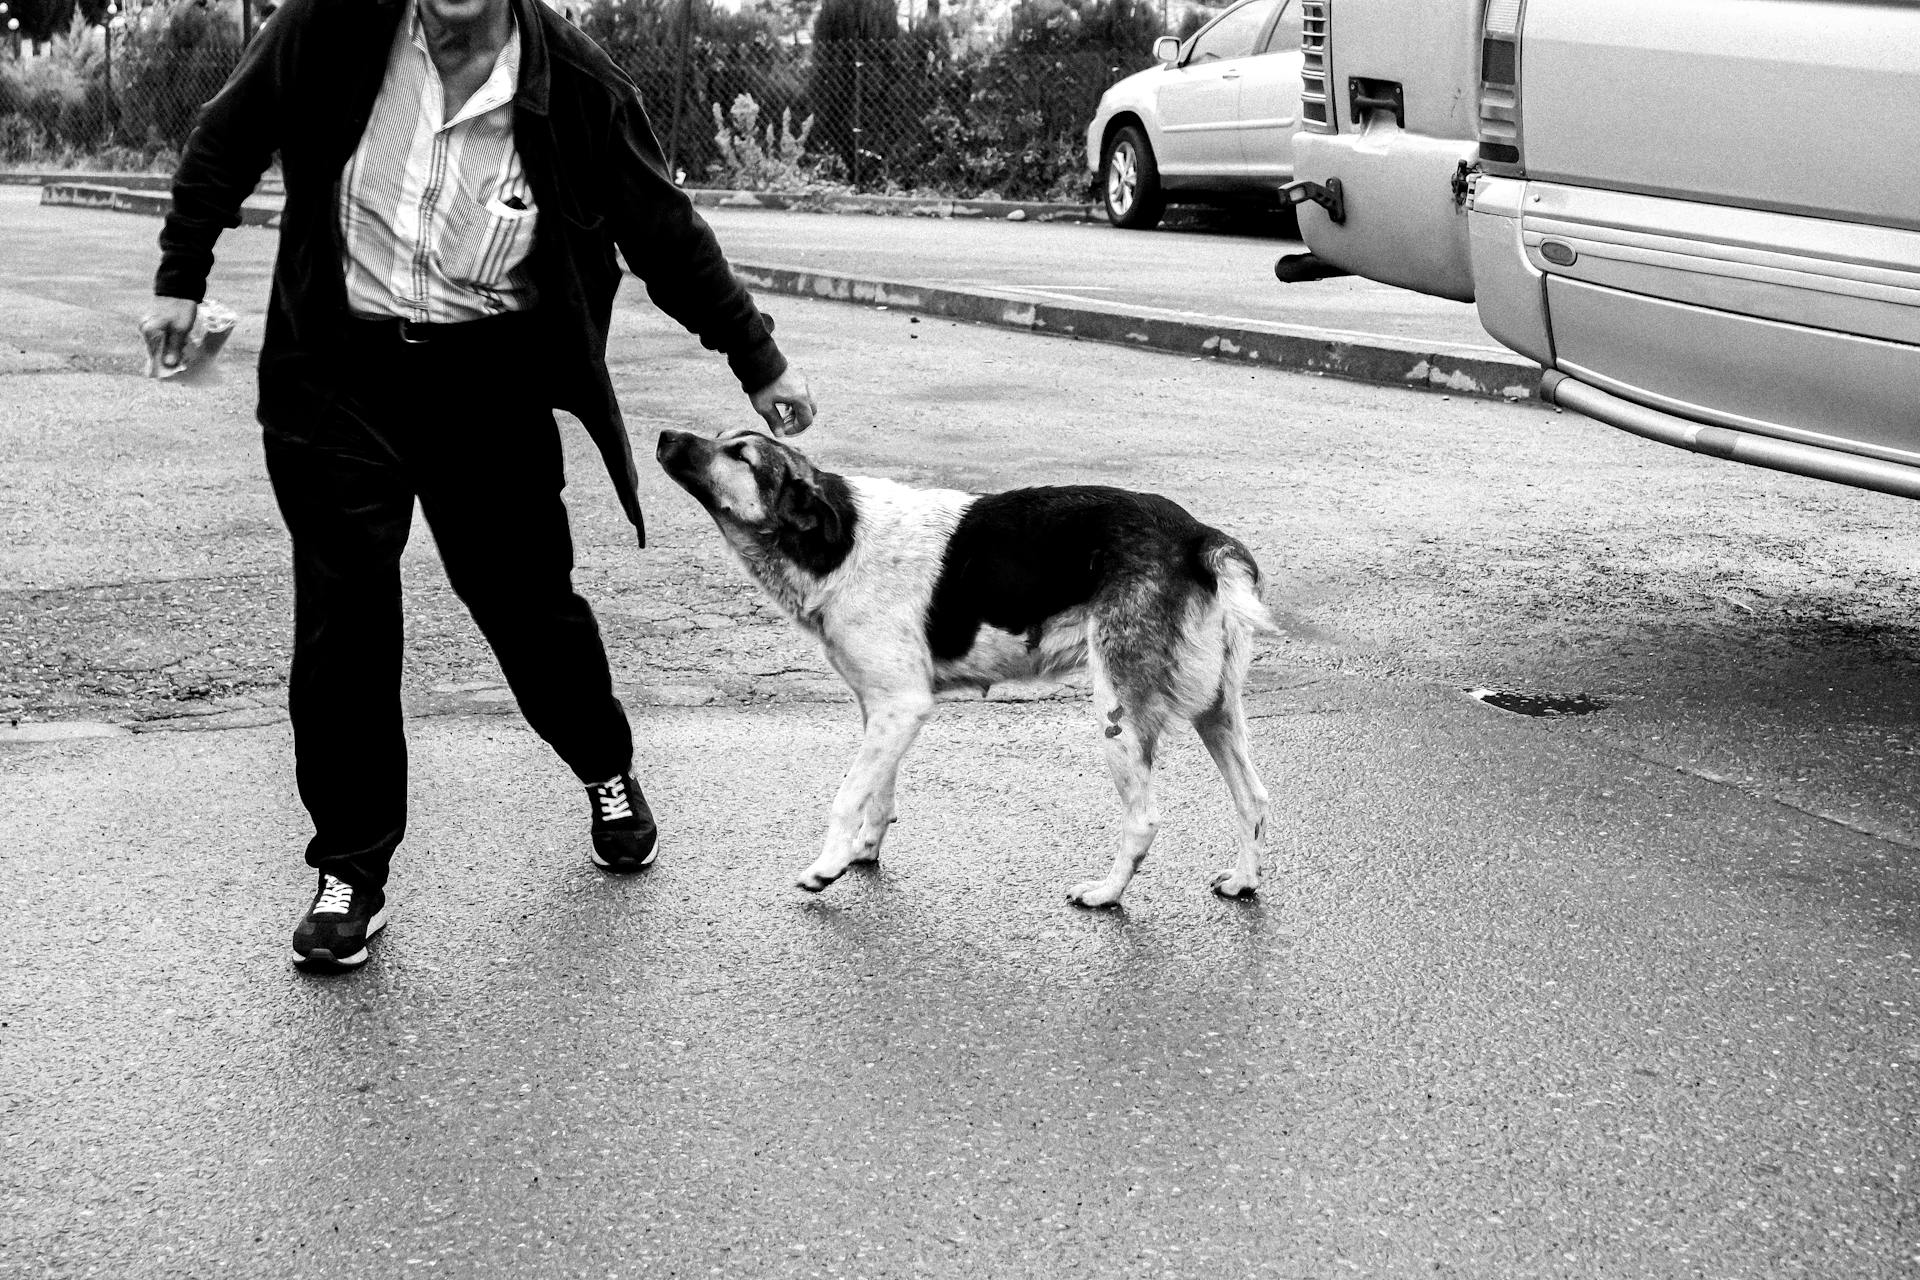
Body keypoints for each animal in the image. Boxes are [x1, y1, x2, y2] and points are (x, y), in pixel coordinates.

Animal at [660, 429, 1274, 909]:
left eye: (741, 456)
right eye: (724, 439)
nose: (665, 436)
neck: (839, 544)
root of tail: (1199, 538)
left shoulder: (902, 707)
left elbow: (847, 795)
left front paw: (825, 868)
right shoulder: (884, 711)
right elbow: (878, 792)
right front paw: (864, 852)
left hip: (1118, 716)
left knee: (1145, 819)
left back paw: (1106, 893)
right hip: (1216, 711)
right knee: (1254, 797)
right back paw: (1243, 880)